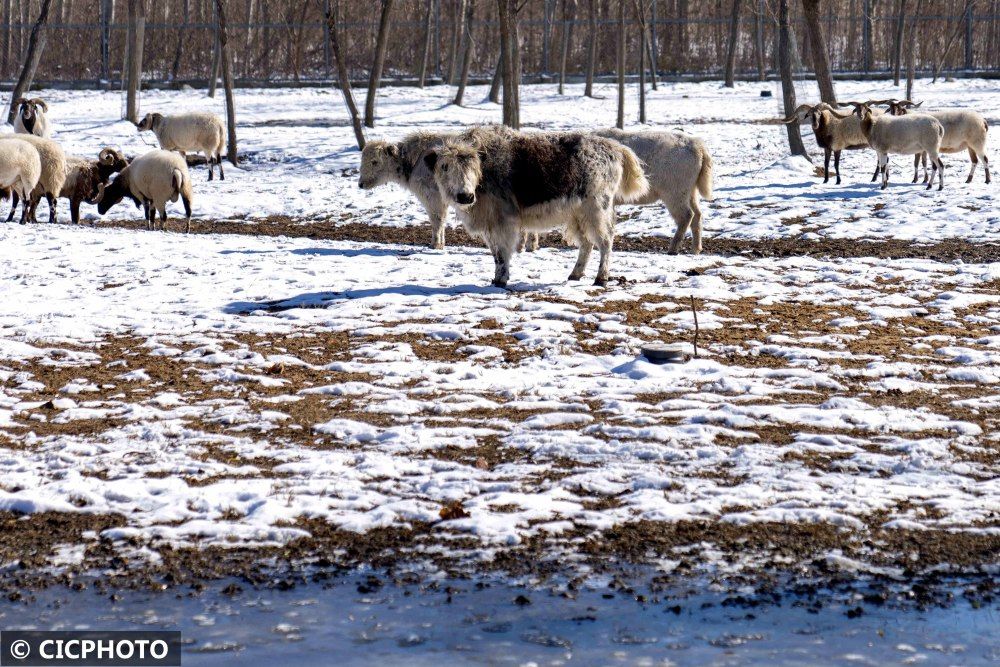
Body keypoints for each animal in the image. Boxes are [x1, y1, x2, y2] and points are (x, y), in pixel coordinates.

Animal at [428, 126, 648, 288]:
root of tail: (615, 148)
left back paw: (600, 279)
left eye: (474, 167)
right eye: (445, 166)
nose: (465, 196)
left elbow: (503, 252)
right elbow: (495, 252)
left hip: (596, 209)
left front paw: (501, 280)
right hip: (578, 215)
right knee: (587, 243)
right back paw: (575, 275)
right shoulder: (489, 224)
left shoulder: (503, 222)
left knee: (605, 241)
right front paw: (496, 279)